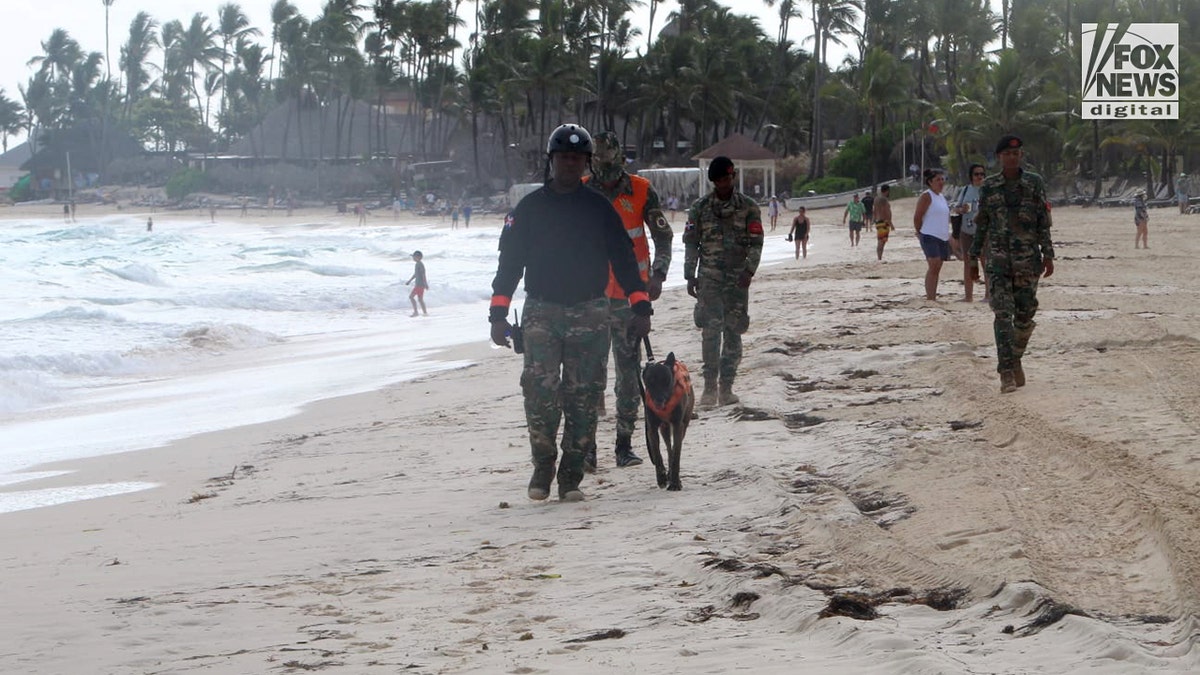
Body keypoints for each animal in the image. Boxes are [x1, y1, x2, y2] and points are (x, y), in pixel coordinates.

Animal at [638, 353, 696, 487]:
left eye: (667, 381)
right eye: (650, 382)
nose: (659, 400)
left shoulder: (678, 425)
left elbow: (676, 454)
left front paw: (675, 483)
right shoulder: (652, 428)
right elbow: (657, 454)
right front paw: (661, 477)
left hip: (683, 424)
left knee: (673, 448)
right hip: (664, 428)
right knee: (669, 448)